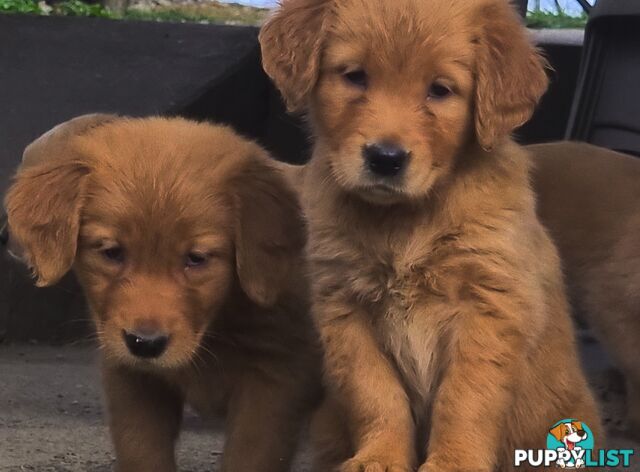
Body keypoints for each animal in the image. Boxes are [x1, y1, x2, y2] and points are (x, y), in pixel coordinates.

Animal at [5, 114, 320, 472]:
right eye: (112, 252)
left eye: (196, 258)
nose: (145, 343)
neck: (218, 325)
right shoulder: (131, 378)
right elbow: (142, 449)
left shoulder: (275, 381)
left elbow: (249, 455)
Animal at [258, 0, 600, 472]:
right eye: (355, 75)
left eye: (440, 90)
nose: (385, 158)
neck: (405, 220)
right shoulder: (345, 310)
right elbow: (375, 394)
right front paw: (380, 456)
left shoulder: (489, 308)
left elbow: (464, 399)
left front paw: (454, 461)